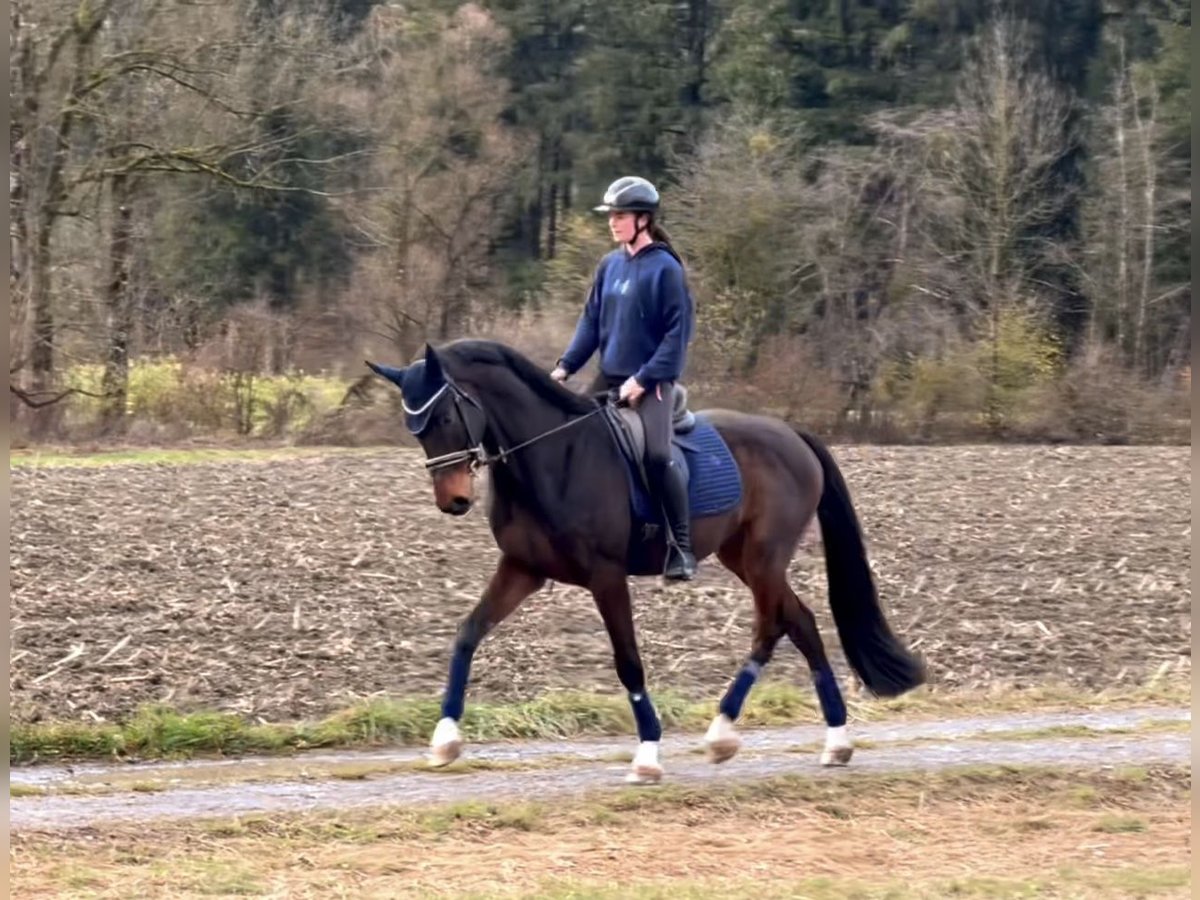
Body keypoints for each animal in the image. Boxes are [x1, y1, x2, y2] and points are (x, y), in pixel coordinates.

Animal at [367, 338, 926, 782]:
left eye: (443, 417)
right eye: (414, 429)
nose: (453, 501)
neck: (553, 456)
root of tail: (792, 434)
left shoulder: (606, 576)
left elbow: (628, 662)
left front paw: (648, 755)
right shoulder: (522, 570)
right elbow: (467, 634)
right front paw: (445, 738)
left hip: (765, 557)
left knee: (771, 627)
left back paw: (725, 732)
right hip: (742, 557)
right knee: (801, 623)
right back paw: (833, 742)